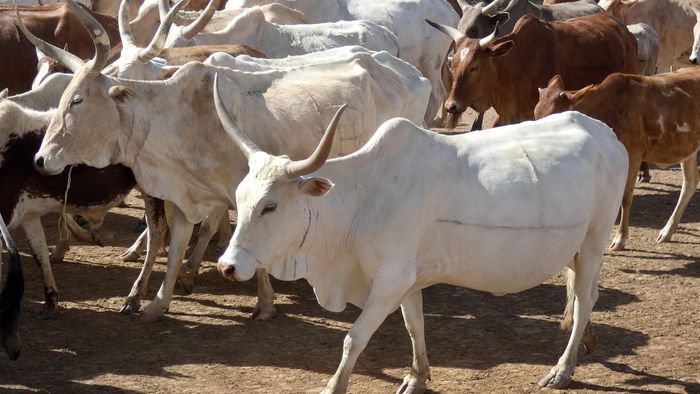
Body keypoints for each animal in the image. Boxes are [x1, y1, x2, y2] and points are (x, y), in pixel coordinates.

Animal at [32, 3, 434, 324]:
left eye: (78, 100)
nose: (40, 159)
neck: (178, 116)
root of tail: (407, 70)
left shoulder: (247, 191)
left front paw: (265, 303)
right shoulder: (185, 197)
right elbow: (174, 248)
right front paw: (156, 304)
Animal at [215, 106, 628, 392]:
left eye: (270, 206)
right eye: (240, 197)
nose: (227, 266)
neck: (363, 199)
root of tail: (606, 134)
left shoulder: (389, 282)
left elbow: (354, 338)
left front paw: (334, 385)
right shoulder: (408, 281)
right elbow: (415, 327)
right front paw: (417, 377)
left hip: (594, 241)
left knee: (585, 299)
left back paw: (562, 370)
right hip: (575, 250)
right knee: (580, 295)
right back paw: (587, 341)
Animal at [532, 70, 700, 249]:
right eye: (536, 114)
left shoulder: (633, 154)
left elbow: (626, 198)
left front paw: (619, 239)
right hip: (689, 149)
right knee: (690, 182)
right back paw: (667, 231)